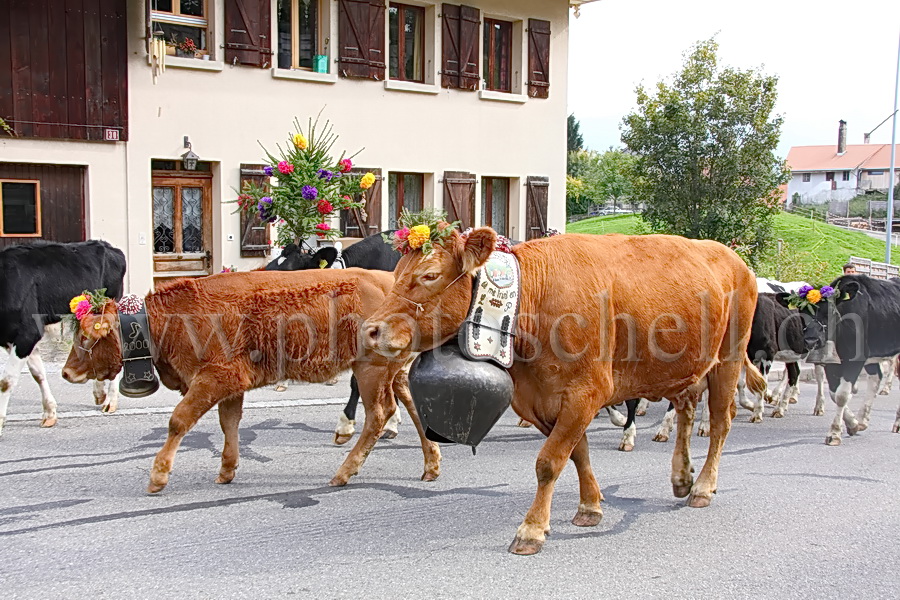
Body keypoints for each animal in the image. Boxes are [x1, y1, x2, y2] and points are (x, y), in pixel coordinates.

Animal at [0, 240, 127, 436]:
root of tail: (106, 244)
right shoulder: (11, 338)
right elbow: (38, 373)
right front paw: (50, 412)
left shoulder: (27, 333)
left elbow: (6, 381)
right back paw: (99, 393)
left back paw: (110, 401)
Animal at [61, 268, 442, 492]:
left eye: (85, 337)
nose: (66, 372)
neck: (174, 317)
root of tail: (393, 281)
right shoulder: (231, 386)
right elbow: (229, 423)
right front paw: (226, 470)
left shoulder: (213, 378)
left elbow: (179, 421)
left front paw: (157, 476)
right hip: (394, 372)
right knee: (413, 404)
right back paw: (431, 466)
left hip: (371, 371)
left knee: (378, 415)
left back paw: (344, 472)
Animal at [364, 229, 768, 552]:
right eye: (396, 274)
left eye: (429, 275)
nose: (370, 329)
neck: (535, 301)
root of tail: (733, 257)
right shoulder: (542, 400)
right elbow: (577, 454)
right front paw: (590, 507)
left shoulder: (586, 392)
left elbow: (548, 462)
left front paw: (531, 530)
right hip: (686, 368)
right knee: (685, 409)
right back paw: (682, 478)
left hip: (729, 357)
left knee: (720, 422)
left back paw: (702, 487)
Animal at [800, 274, 900, 442]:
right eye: (802, 313)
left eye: (830, 312)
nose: (811, 341)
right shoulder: (832, 363)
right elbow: (834, 393)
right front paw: (853, 424)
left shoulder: (856, 358)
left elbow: (842, 395)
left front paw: (834, 432)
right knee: (876, 377)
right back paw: (862, 420)